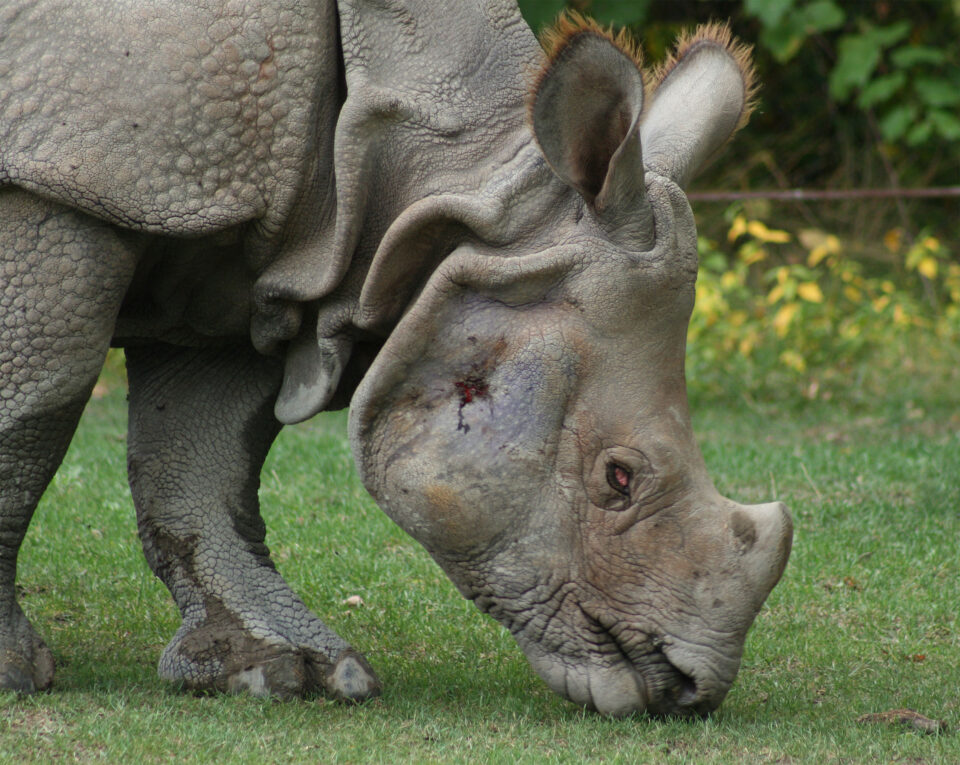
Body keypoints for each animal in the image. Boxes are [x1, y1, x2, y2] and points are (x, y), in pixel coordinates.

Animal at [0, 0, 792, 716]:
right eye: (618, 478)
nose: (690, 691)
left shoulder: (237, 245)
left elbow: (201, 457)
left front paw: (285, 671)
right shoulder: (67, 186)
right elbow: (34, 413)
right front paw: (11, 672)